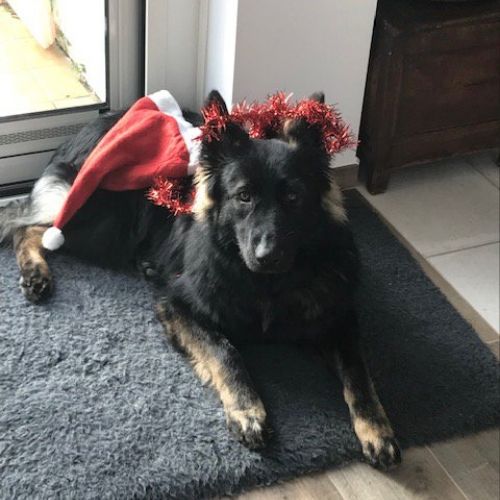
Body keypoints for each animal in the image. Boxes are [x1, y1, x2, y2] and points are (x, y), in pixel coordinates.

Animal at [0, 90, 401, 469]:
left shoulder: (338, 319)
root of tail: (87, 128)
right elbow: (226, 351)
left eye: (292, 197)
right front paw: (248, 410)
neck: (268, 286)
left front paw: (377, 430)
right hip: (105, 225)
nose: (266, 256)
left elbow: (360, 376)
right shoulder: (179, 306)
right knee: (27, 226)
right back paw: (36, 275)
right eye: (243, 196)